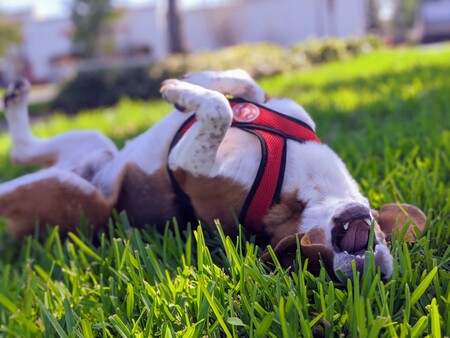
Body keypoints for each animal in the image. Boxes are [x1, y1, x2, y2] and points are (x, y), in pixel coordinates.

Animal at [0, 69, 428, 280]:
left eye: (309, 259)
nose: (364, 273)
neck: (307, 188)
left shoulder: (188, 165)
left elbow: (220, 109)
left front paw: (183, 91)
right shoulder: (270, 103)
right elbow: (240, 85)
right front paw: (192, 82)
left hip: (67, 190)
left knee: (18, 160)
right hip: (95, 145)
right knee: (23, 149)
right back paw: (17, 94)